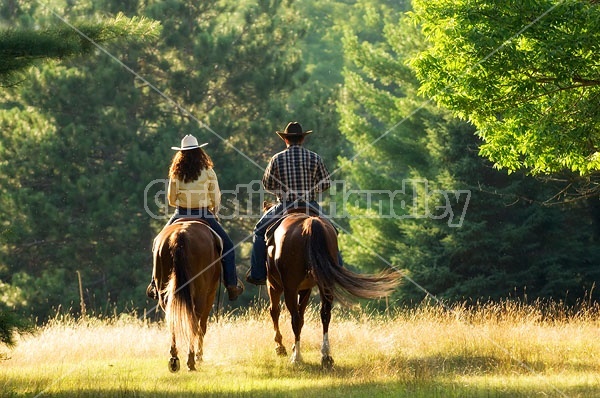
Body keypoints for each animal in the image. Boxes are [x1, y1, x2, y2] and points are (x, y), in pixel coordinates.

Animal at [152, 219, 223, 372]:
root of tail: (179, 236)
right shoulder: (210, 294)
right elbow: (202, 327)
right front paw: (199, 356)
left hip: (164, 294)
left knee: (172, 320)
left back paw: (174, 359)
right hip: (201, 294)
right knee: (195, 323)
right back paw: (191, 361)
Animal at [266, 213, 398, 368]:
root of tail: (309, 224)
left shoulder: (274, 285)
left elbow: (275, 311)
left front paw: (280, 347)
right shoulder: (305, 289)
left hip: (289, 287)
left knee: (295, 319)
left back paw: (297, 357)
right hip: (325, 284)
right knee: (325, 314)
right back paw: (326, 356)